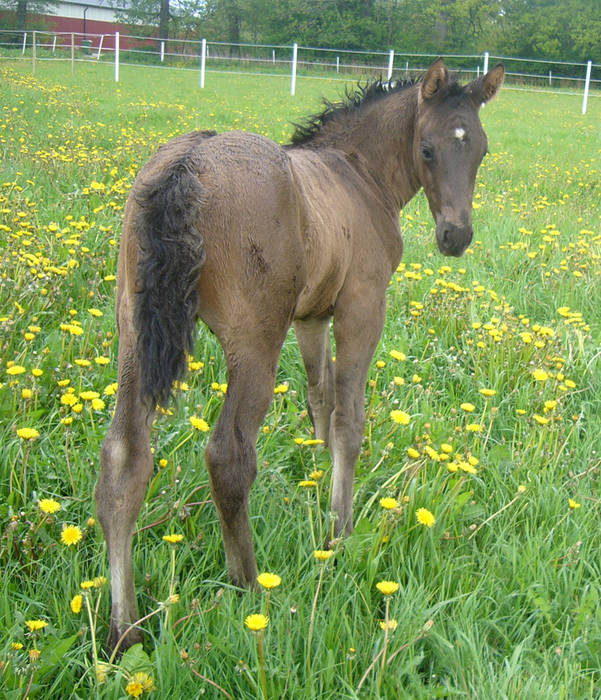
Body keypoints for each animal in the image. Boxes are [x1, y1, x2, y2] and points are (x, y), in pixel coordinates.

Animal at [97, 57, 502, 648]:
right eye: (427, 149)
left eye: (481, 150)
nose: (456, 235)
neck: (359, 173)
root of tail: (186, 165)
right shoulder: (361, 305)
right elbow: (349, 418)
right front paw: (340, 528)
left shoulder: (311, 317)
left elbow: (320, 399)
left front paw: (314, 473)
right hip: (254, 341)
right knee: (228, 455)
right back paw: (249, 587)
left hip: (133, 330)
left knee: (124, 458)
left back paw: (123, 629)